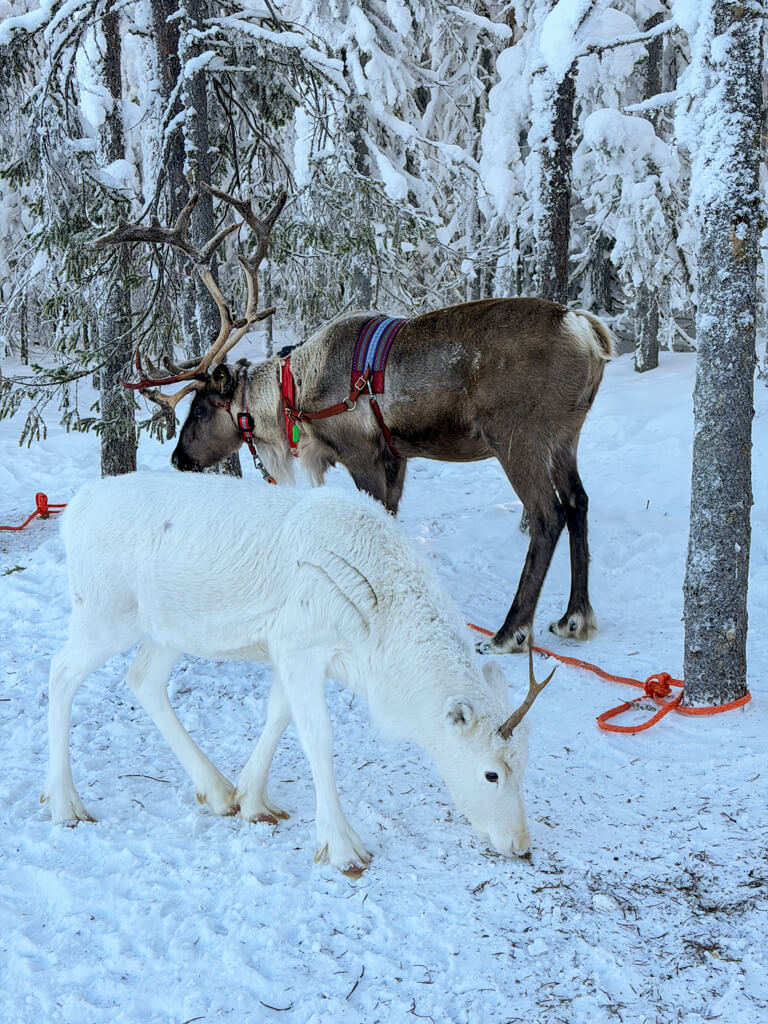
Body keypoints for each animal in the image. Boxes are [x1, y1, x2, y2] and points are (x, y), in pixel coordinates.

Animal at [42, 472, 555, 876]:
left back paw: (216, 790)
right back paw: (64, 802)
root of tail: (74, 512)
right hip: (105, 613)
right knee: (61, 671)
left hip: (169, 629)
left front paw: (253, 801)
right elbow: (317, 735)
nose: (520, 845)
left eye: (527, 764)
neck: (383, 626)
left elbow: (279, 714)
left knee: (143, 678)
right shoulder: (300, 645)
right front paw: (343, 847)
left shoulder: (293, 654)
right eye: (491, 774)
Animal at [96, 187, 613, 656]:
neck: (294, 392)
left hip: (517, 438)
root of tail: (586, 329)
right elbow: (392, 524)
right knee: (580, 502)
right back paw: (574, 617)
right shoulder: (396, 456)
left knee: (548, 515)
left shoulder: (361, 454)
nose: (178, 458)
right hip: (566, 436)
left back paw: (509, 632)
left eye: (200, 409)